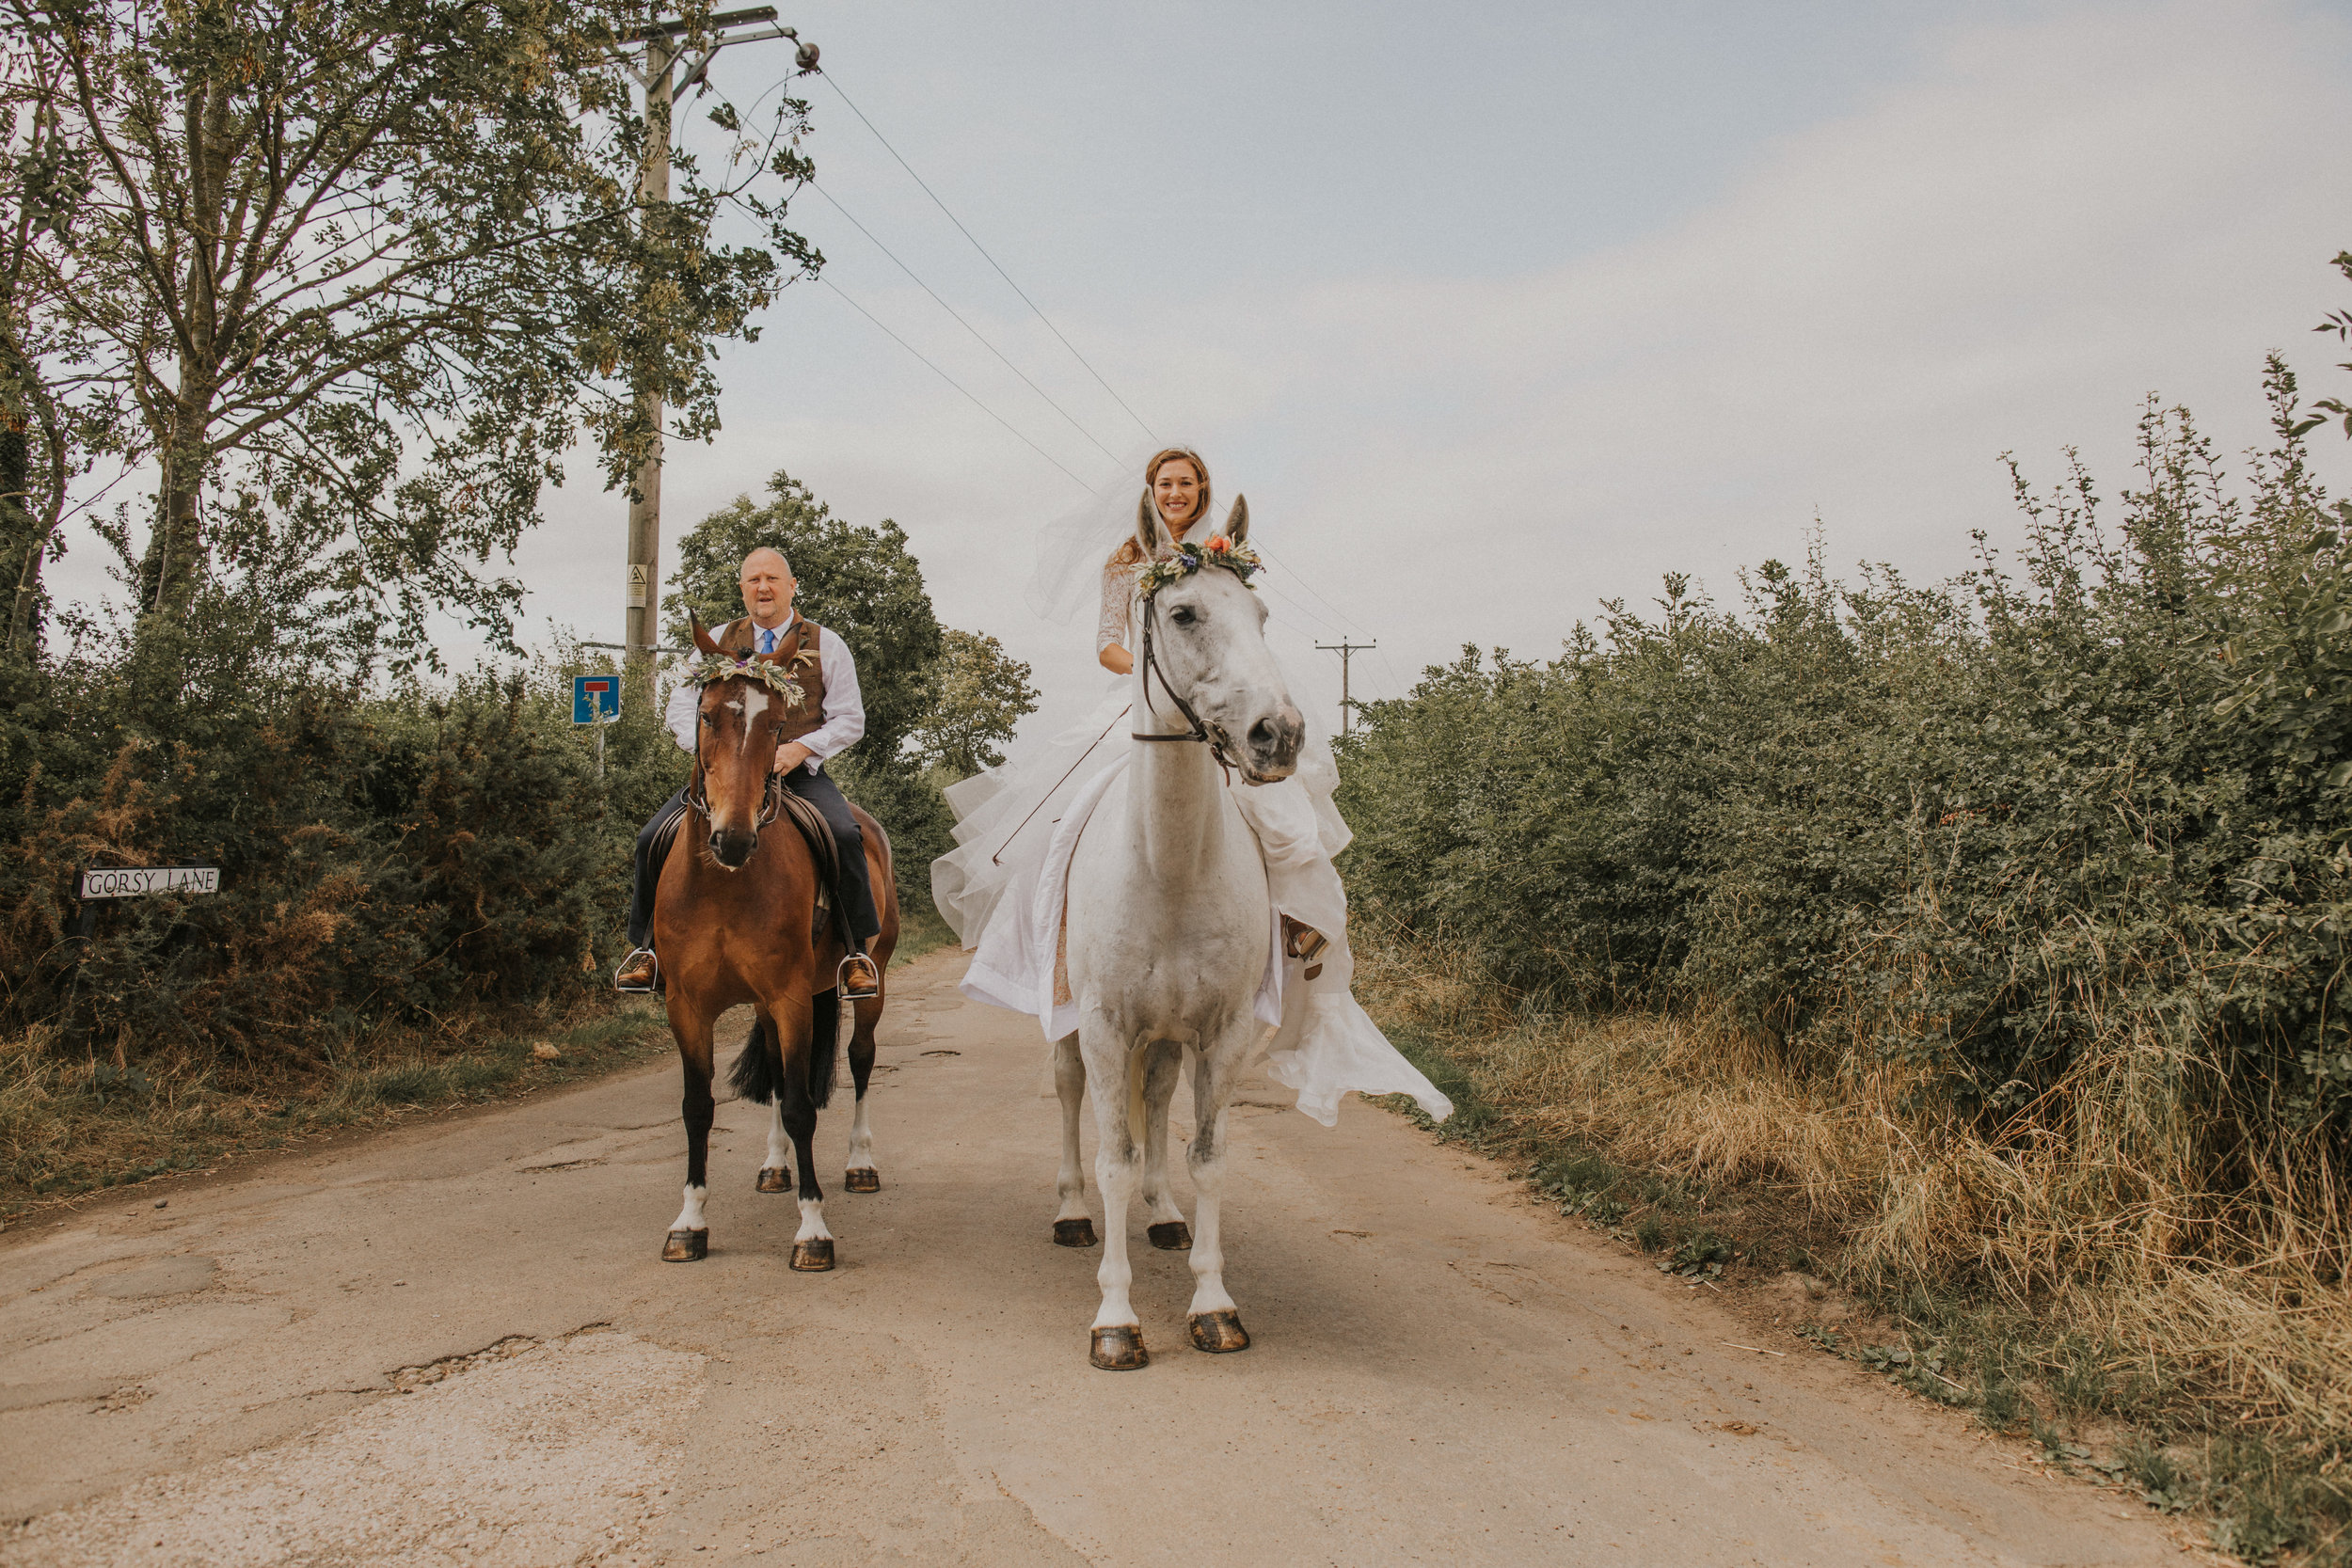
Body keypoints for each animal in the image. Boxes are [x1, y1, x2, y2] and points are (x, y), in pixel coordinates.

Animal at [654, 610, 898, 1278]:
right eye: (707, 714)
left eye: (777, 725)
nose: (732, 838)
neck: (725, 883)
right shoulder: (687, 1006)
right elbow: (698, 1106)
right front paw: (689, 1222)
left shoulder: (791, 999)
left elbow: (800, 1106)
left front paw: (812, 1230)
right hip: (765, 1007)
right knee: (774, 1073)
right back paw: (774, 1165)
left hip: (868, 984)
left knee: (860, 1061)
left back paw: (859, 1164)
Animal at [1054, 493, 1308, 1372]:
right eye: (1184, 612)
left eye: (1261, 615)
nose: (1279, 733)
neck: (1168, 869)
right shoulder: (1102, 1025)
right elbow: (1112, 1159)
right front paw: (1115, 1318)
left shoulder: (1223, 1033)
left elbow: (1207, 1158)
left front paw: (1213, 1302)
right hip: (1073, 1027)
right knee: (1070, 1101)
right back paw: (1070, 1210)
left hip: (1165, 1034)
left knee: (1159, 1101)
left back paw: (1164, 1214)